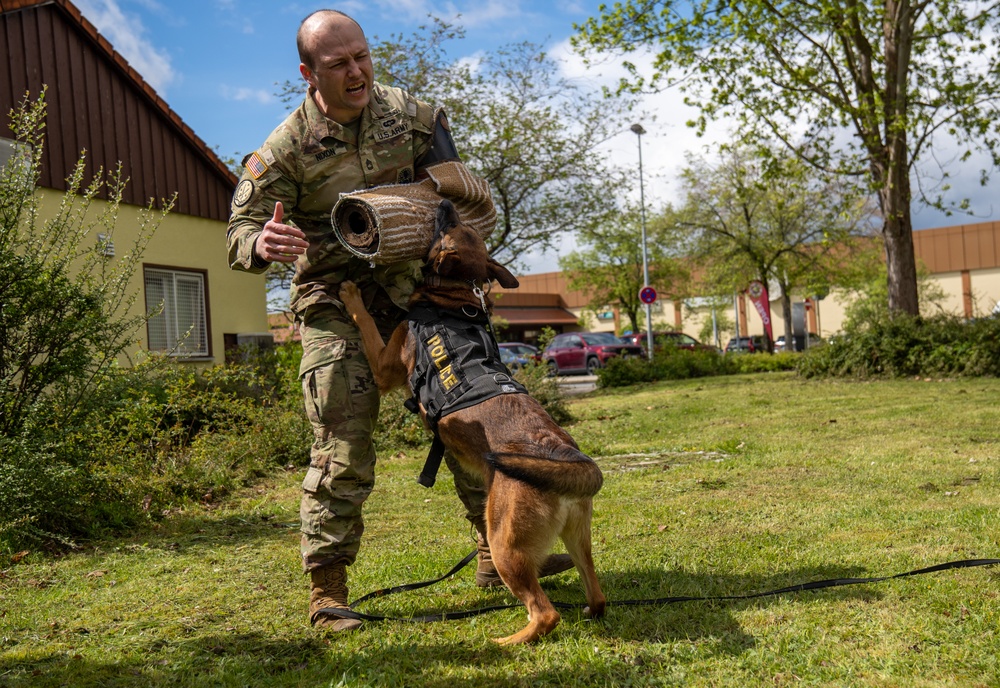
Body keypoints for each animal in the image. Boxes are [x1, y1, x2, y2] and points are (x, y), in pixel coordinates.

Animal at [338, 199, 600, 644]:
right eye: (462, 224)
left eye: (450, 225)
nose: (445, 202)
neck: (455, 294)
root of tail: (564, 455)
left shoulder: (385, 365)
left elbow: (368, 323)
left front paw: (354, 292)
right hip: (577, 541)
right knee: (596, 596)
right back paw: (583, 609)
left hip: (503, 544)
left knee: (545, 613)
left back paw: (509, 641)